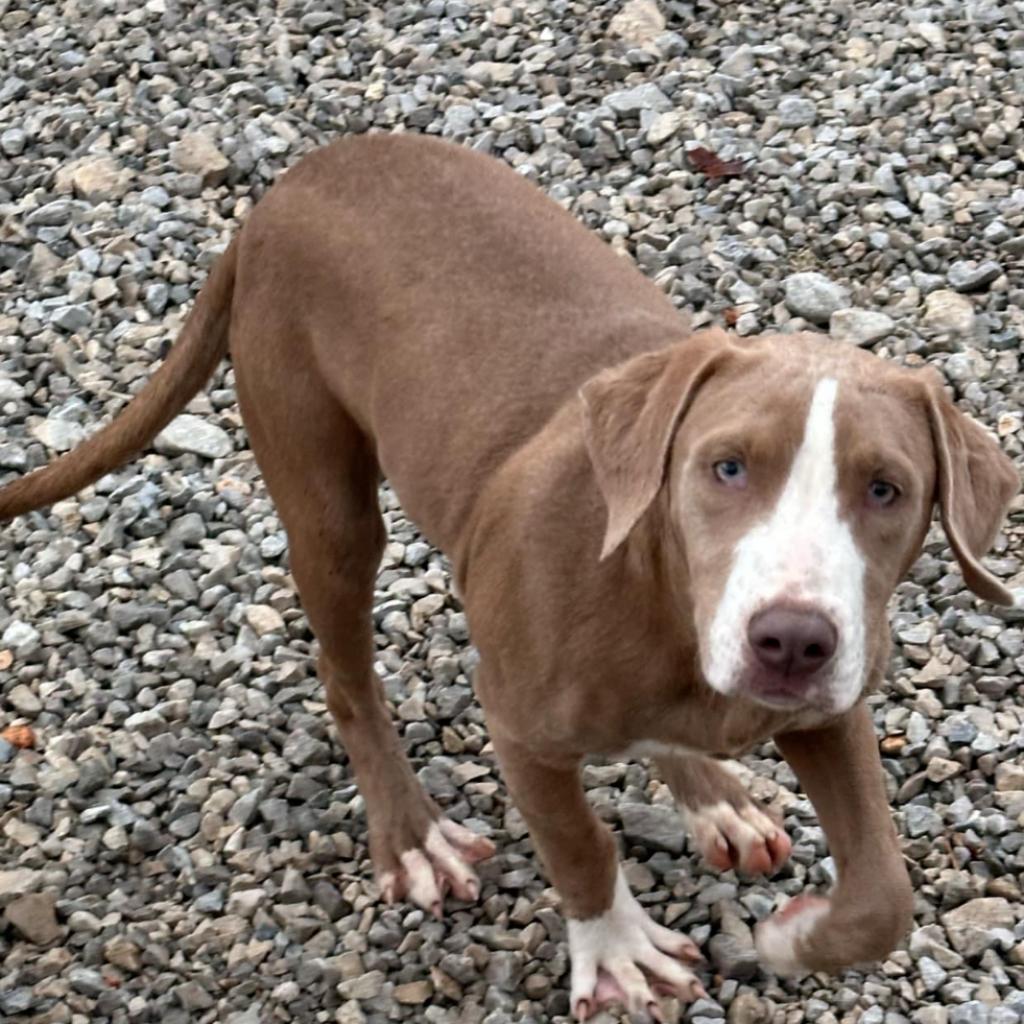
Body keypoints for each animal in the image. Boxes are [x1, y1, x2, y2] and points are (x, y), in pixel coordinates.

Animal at [4, 134, 1019, 1015]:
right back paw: (413, 836)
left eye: (887, 489)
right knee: (346, 671)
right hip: (327, 498)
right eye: (726, 467)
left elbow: (884, 891)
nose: (792, 642)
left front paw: (791, 939)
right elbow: (578, 841)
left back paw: (712, 797)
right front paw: (618, 954)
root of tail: (286, 188)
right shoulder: (519, 721)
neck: (662, 609)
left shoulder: (831, 706)